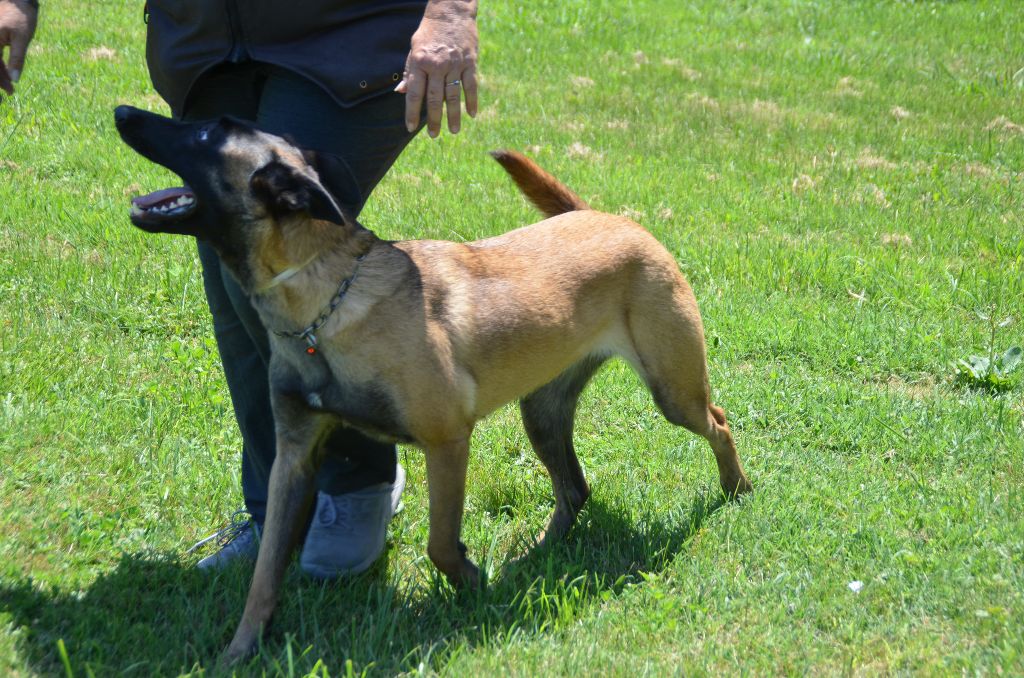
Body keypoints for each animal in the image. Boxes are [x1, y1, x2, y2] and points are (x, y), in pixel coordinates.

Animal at [116, 106, 753, 663]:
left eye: (208, 132)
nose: (123, 112)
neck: (322, 299)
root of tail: (603, 216)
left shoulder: (447, 442)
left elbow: (441, 545)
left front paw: (473, 583)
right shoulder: (293, 458)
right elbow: (265, 572)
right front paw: (241, 648)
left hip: (673, 391)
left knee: (718, 423)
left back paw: (735, 489)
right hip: (542, 412)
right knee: (575, 488)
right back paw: (540, 555)